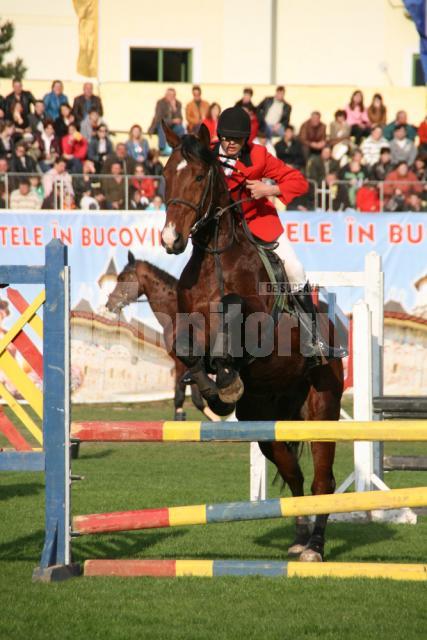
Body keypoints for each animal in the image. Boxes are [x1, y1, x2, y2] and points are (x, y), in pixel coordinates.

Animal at [105, 252, 219, 422]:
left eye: (123, 277)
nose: (109, 304)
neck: (176, 314)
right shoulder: (189, 366)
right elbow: (197, 399)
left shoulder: (180, 362)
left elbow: (180, 397)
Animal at [160, 124, 344, 560]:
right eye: (165, 175)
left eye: (198, 177)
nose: (170, 239)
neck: (216, 256)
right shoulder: (187, 325)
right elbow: (189, 349)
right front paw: (213, 391)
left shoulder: (257, 326)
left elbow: (231, 322)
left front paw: (225, 379)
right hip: (265, 422)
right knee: (294, 477)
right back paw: (299, 538)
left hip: (323, 406)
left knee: (322, 482)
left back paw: (314, 545)